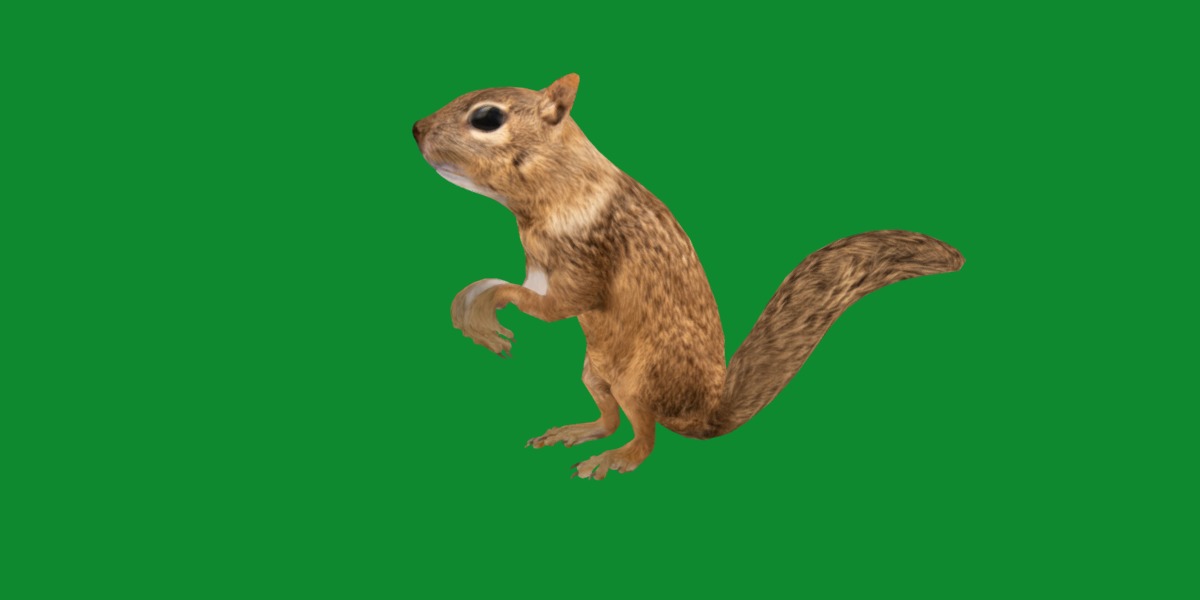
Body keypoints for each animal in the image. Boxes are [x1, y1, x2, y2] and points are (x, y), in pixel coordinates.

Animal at [413, 74, 964, 480]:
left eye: (487, 118)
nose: (416, 128)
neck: (560, 185)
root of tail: (704, 409)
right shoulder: (540, 263)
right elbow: (531, 293)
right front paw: (472, 303)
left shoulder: (587, 256)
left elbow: (556, 305)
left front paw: (482, 306)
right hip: (594, 370)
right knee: (609, 417)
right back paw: (579, 430)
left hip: (642, 378)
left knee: (643, 437)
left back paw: (613, 459)